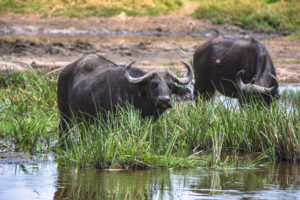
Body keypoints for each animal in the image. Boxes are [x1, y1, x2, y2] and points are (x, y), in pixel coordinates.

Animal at [56, 53, 192, 134]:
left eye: (171, 85)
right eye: (153, 84)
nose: (164, 100)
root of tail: (64, 71)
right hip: (65, 113)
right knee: (63, 128)